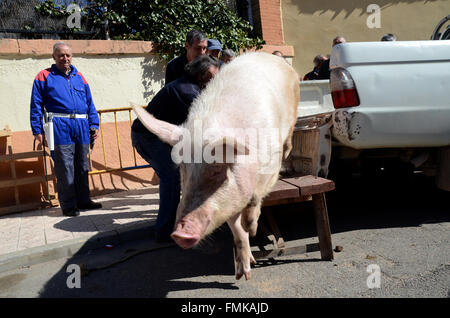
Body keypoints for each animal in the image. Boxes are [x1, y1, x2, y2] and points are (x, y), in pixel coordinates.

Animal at [135, 51, 300, 278]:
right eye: (183, 169)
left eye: (216, 169)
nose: (179, 233)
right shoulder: (229, 198)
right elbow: (235, 227)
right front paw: (243, 273)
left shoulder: (270, 167)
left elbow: (255, 199)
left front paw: (252, 228)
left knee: (290, 135)